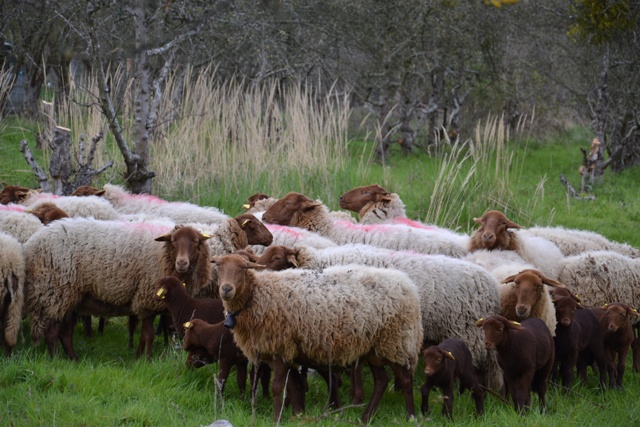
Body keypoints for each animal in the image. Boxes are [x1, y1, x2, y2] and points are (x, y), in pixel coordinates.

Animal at [23, 217, 212, 362]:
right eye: (173, 241)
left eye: (196, 242)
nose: (182, 263)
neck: (162, 254)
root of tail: (31, 243)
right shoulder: (147, 300)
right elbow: (149, 335)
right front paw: (148, 360)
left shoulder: (144, 303)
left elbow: (143, 335)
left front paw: (138, 357)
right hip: (56, 293)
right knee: (52, 333)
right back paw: (56, 360)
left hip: (72, 299)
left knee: (65, 334)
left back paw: (74, 360)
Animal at [212, 254, 422, 424]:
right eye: (219, 267)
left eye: (242, 268)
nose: (226, 289)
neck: (257, 296)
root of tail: (408, 284)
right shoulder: (285, 351)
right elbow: (292, 386)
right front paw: (296, 415)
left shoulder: (280, 349)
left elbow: (278, 388)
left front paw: (276, 418)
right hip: (375, 348)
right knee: (381, 381)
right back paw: (365, 418)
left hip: (397, 341)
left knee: (405, 379)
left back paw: (410, 416)